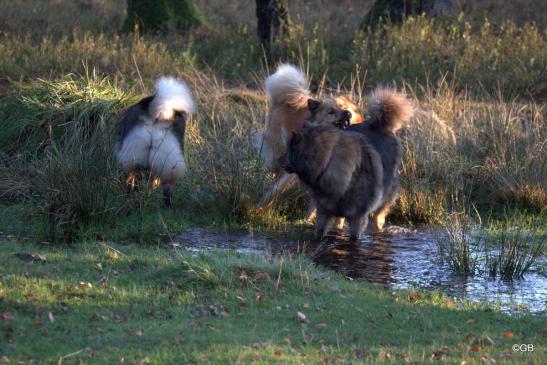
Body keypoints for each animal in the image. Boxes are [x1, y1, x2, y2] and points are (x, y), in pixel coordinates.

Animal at [113, 76, 195, 208]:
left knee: (131, 180)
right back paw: (166, 207)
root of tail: (159, 112)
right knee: (166, 189)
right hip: (168, 161)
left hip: (135, 156)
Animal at [280, 87, 414, 239]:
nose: (347, 113)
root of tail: (379, 124)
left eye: (343, 108)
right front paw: (306, 221)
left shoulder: (357, 217)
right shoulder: (324, 208)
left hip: (383, 200)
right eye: (331, 112)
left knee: (377, 220)